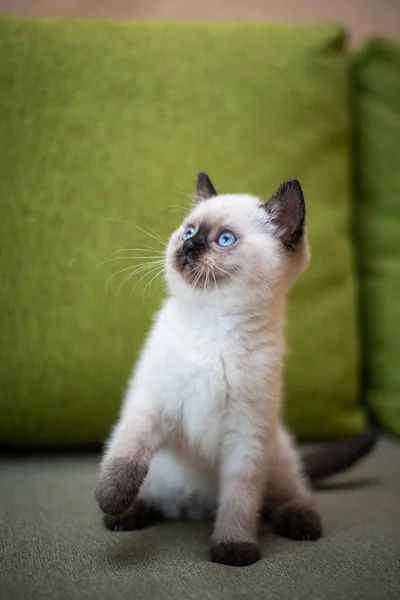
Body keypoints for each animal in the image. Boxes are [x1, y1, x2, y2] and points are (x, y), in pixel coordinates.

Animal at [96, 171, 356, 564]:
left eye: (225, 240)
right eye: (189, 231)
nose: (188, 248)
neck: (214, 323)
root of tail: (189, 510)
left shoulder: (245, 436)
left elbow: (240, 500)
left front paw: (233, 548)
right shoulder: (150, 405)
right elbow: (126, 458)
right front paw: (110, 499)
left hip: (276, 453)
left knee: (290, 494)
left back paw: (302, 525)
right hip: (164, 472)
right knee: (150, 495)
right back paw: (127, 514)